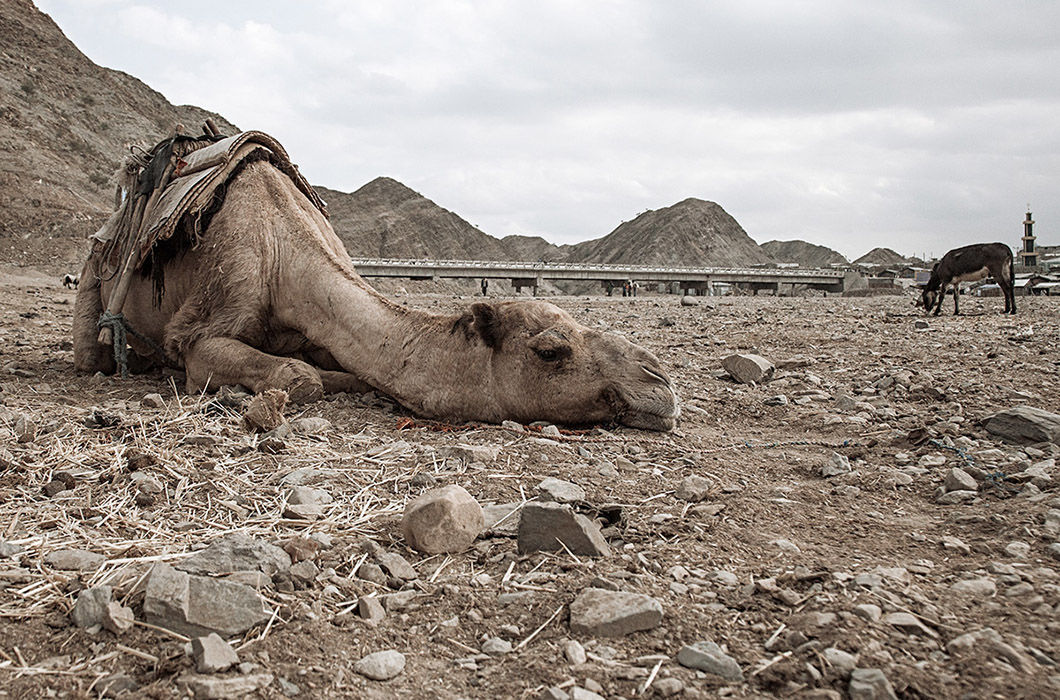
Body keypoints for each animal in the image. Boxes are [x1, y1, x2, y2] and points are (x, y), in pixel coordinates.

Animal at [76, 137, 678, 432]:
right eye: (552, 351)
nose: (660, 382)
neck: (284, 251)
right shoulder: (201, 329)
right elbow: (296, 377)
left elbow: (342, 369)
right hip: (94, 271)